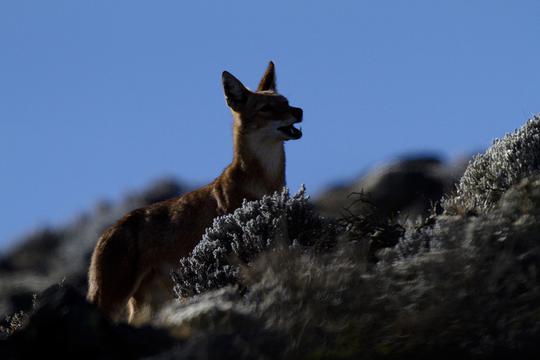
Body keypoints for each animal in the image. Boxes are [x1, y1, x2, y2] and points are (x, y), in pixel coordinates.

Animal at [86, 61, 302, 324]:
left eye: (286, 102)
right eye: (267, 108)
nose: (300, 111)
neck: (265, 182)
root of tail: (107, 231)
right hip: (113, 300)